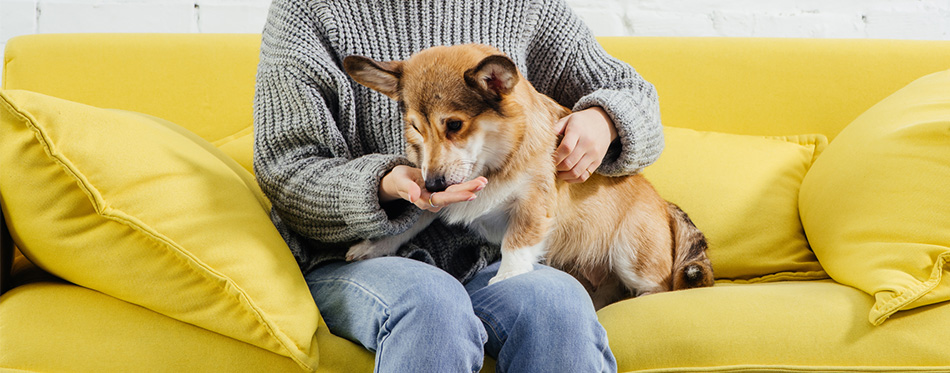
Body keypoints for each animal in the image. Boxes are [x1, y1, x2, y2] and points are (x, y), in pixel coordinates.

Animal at [342, 44, 712, 308]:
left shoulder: (533, 204)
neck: (493, 161)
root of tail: (665, 205)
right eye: (416, 129)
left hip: (630, 255)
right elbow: (410, 221)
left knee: (662, 288)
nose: (432, 185)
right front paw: (373, 247)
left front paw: (506, 278)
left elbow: (515, 245)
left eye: (455, 125)